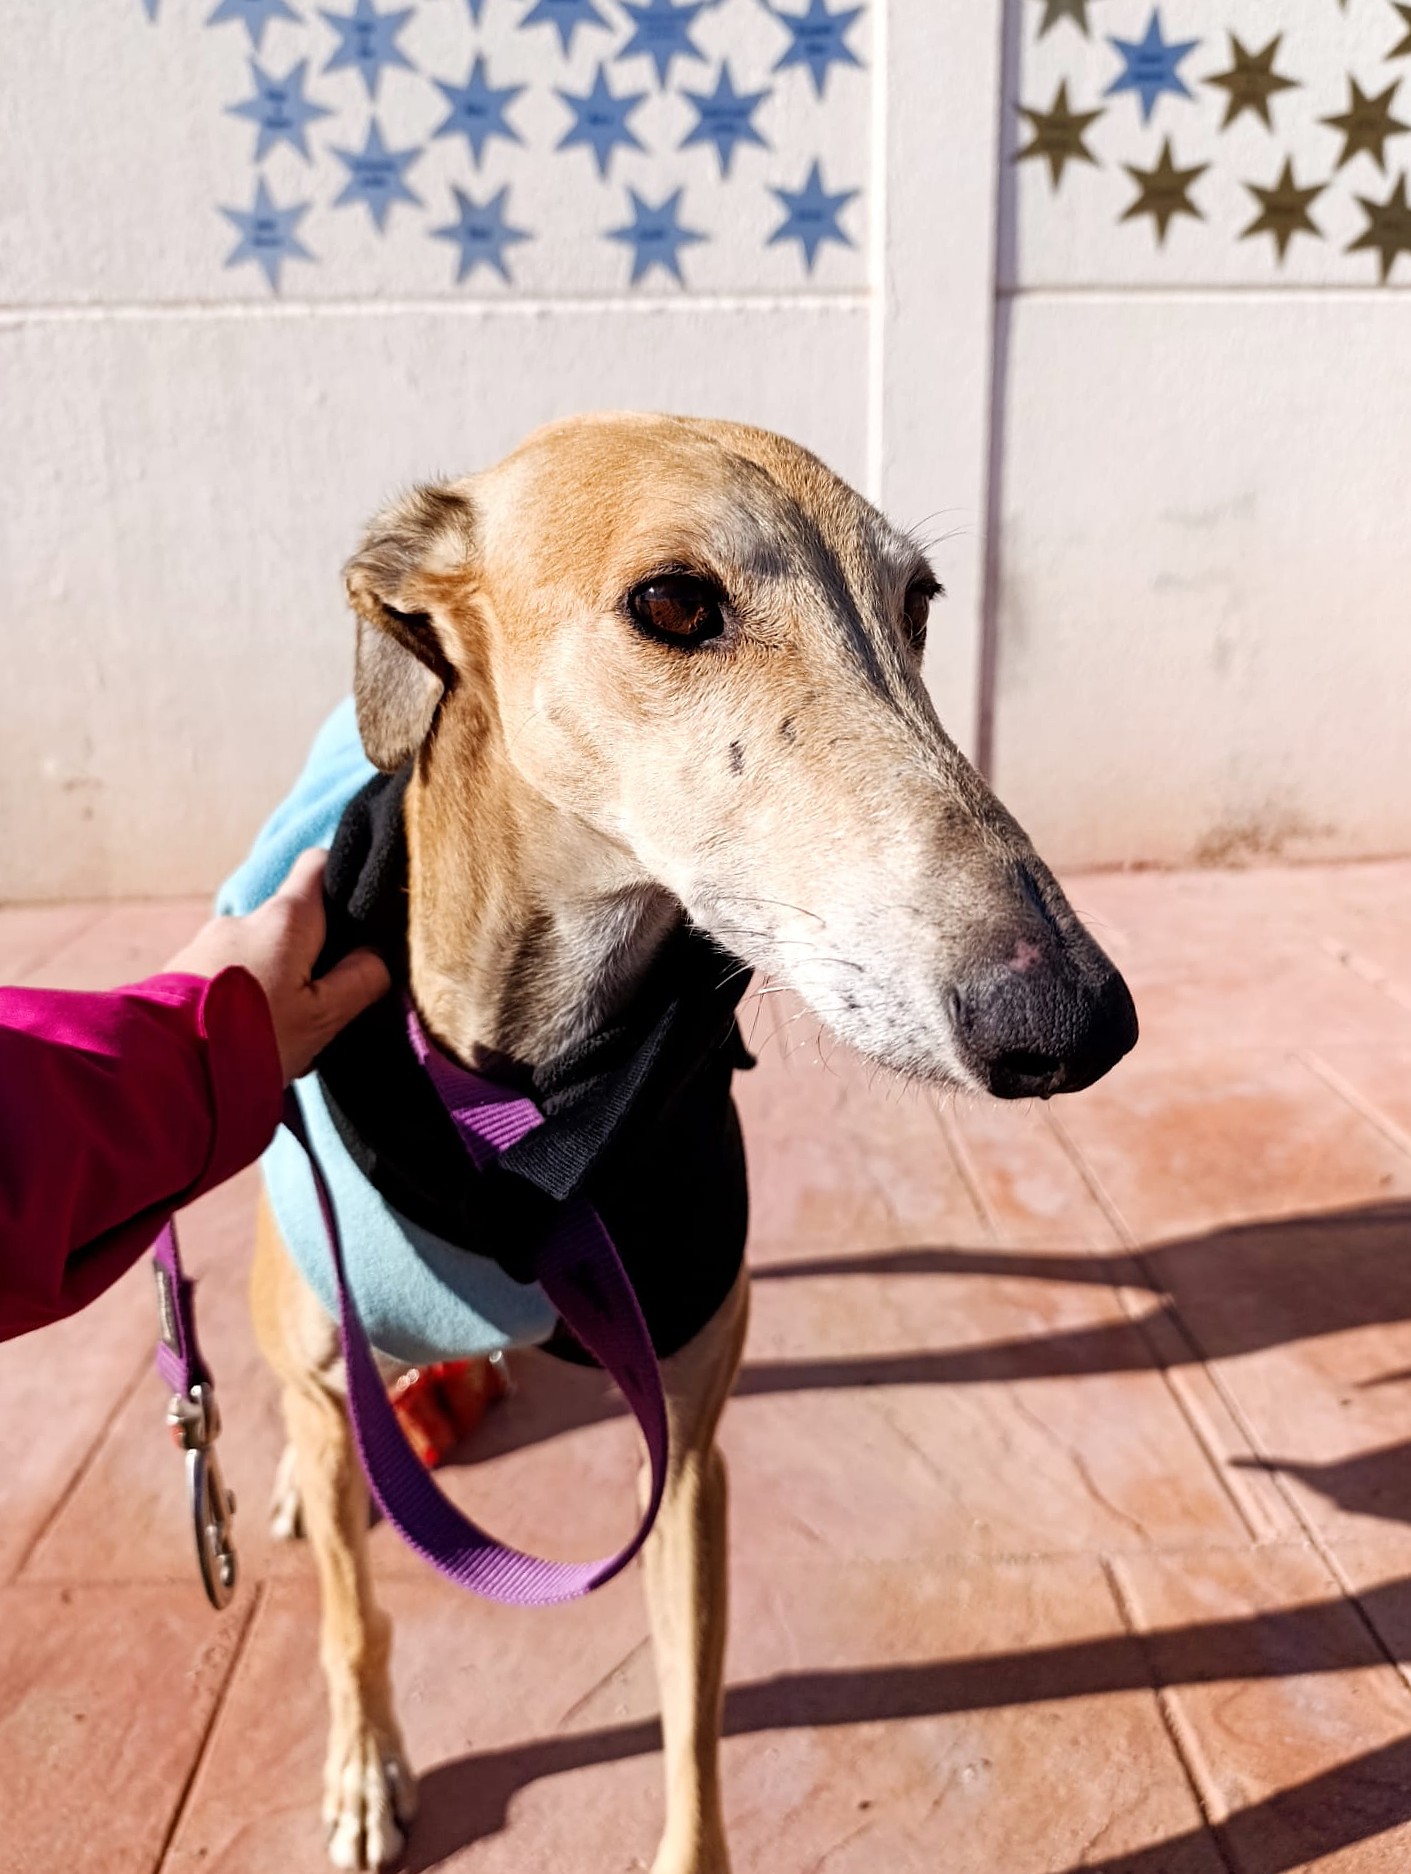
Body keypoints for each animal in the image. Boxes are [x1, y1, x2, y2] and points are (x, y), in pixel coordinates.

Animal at [248, 412, 1137, 1873]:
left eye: (918, 602)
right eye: (672, 601)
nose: (1077, 1018)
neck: (529, 1102)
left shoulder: (691, 1455)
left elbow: (691, 1712)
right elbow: (349, 1606)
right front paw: (365, 1767)